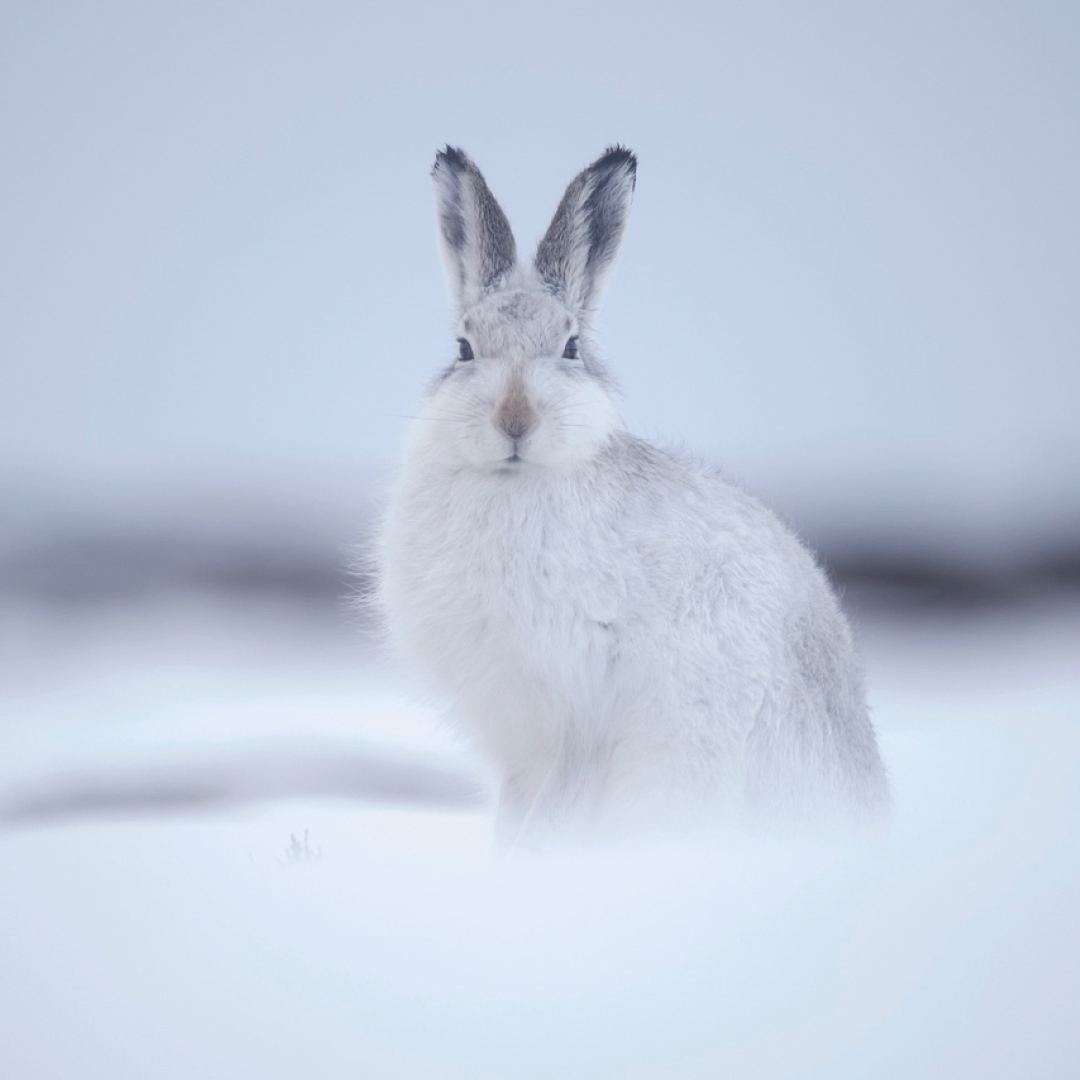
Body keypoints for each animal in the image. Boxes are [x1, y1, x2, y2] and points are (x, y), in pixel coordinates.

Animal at [377, 145, 890, 842]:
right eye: (463, 348)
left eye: (571, 347)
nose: (515, 420)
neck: (519, 482)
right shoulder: (522, 742)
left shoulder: (577, 705)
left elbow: (555, 803)